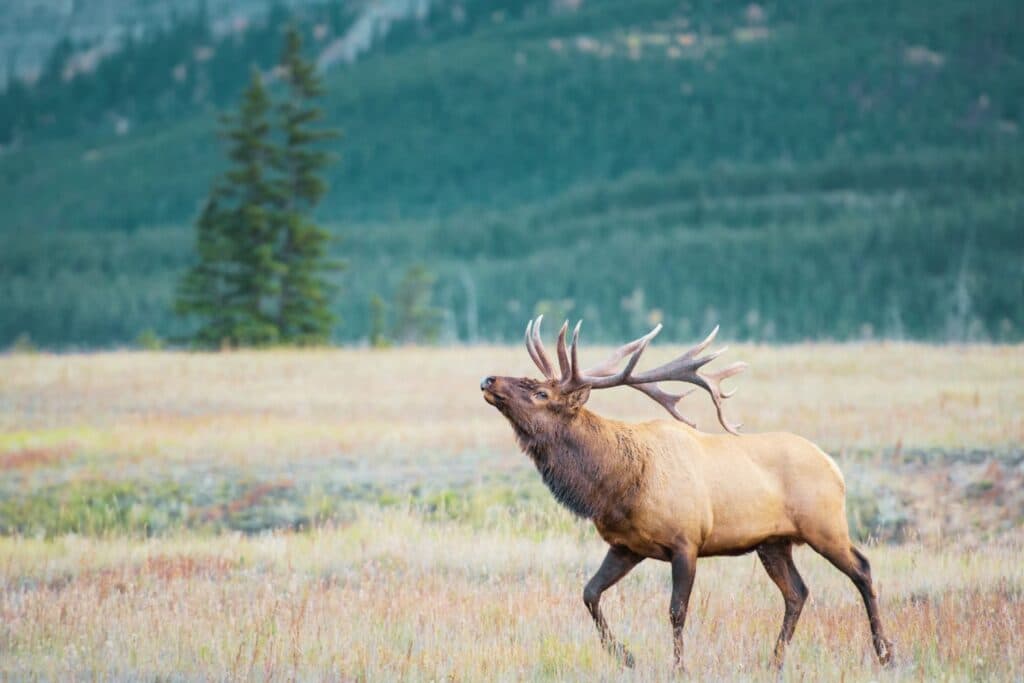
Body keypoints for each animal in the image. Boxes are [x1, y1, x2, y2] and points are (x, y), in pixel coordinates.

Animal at [479, 316, 893, 671]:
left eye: (540, 392)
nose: (488, 379)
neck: (617, 487)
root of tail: (834, 466)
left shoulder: (686, 541)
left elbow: (676, 611)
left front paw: (678, 666)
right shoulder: (626, 545)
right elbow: (589, 593)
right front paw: (626, 656)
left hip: (825, 524)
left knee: (862, 569)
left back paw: (884, 652)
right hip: (773, 542)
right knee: (797, 592)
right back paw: (775, 661)